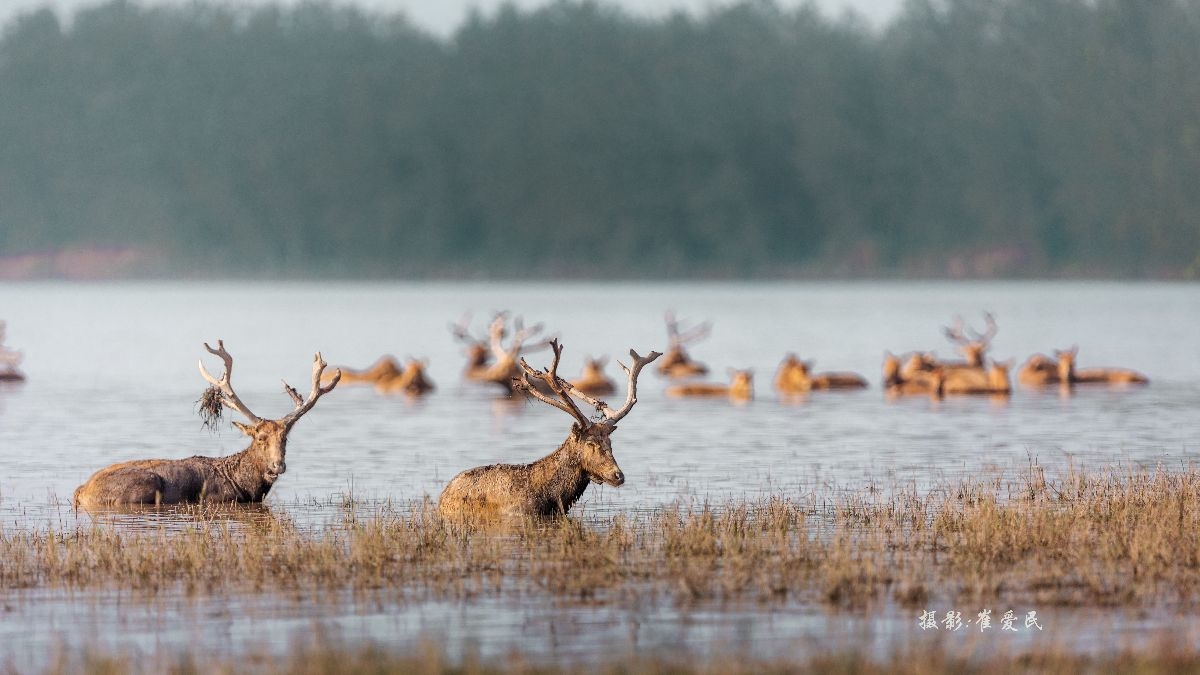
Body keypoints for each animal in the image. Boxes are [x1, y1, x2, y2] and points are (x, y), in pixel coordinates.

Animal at [73, 338, 340, 506]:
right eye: (260, 438)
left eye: (285, 439)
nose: (278, 466)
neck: (245, 485)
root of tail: (81, 491)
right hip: (144, 485)